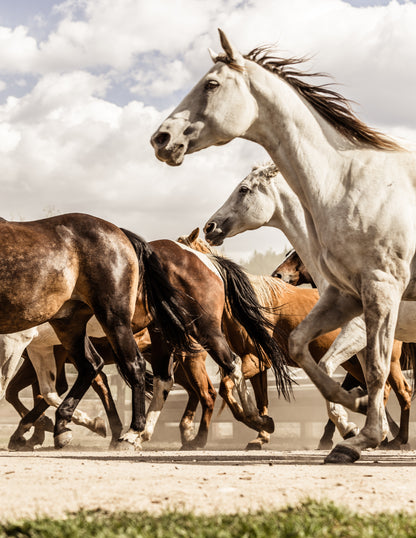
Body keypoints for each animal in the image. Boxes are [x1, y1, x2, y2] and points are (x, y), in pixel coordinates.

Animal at [150, 28, 416, 460]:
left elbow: (369, 373)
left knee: (400, 388)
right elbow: (309, 358)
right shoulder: (345, 302)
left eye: (211, 84)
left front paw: (358, 434)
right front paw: (352, 419)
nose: (161, 138)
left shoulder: (375, 300)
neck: (348, 180)